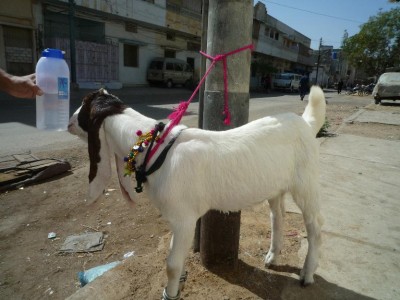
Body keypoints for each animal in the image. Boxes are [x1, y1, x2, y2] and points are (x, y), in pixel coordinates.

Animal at [69, 85, 324, 298]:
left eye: (84, 104)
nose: (69, 122)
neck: (155, 148)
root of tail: (306, 124)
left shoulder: (185, 219)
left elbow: (171, 265)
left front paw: (170, 293)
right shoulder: (177, 218)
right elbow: (174, 256)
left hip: (307, 183)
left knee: (314, 228)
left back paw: (307, 275)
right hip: (276, 186)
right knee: (277, 216)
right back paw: (272, 256)